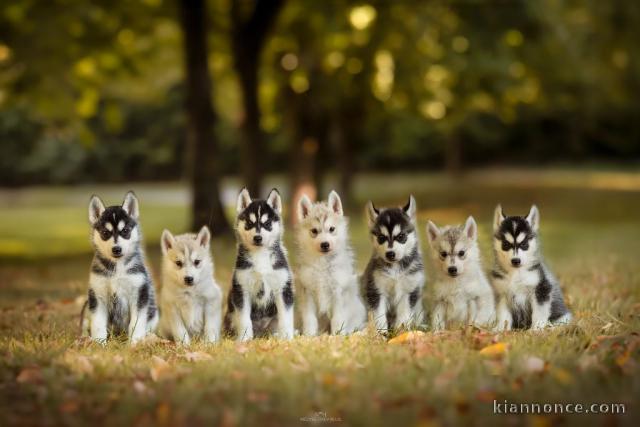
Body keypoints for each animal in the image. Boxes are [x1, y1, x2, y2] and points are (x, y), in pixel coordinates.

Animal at [81, 192, 159, 346]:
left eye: (125, 231)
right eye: (105, 233)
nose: (116, 249)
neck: (117, 269)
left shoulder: (139, 294)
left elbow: (136, 323)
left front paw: (134, 344)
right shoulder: (97, 295)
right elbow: (98, 324)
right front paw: (99, 345)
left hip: (153, 312)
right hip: (87, 306)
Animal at [225, 187, 296, 342]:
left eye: (267, 224)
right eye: (249, 224)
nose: (258, 237)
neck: (260, 255)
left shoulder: (283, 288)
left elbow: (286, 317)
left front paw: (287, 337)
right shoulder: (242, 289)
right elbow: (244, 319)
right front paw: (244, 339)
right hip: (231, 314)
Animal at [294, 192, 364, 336]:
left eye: (332, 229)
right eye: (314, 231)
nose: (325, 244)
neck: (322, 262)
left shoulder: (338, 291)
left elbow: (337, 318)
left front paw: (337, 334)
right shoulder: (307, 291)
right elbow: (309, 317)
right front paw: (309, 335)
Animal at [362, 196, 428, 332]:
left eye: (401, 236)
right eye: (381, 238)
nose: (390, 254)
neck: (395, 269)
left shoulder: (409, 290)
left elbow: (404, 313)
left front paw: (400, 330)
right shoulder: (375, 290)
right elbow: (379, 315)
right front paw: (381, 333)